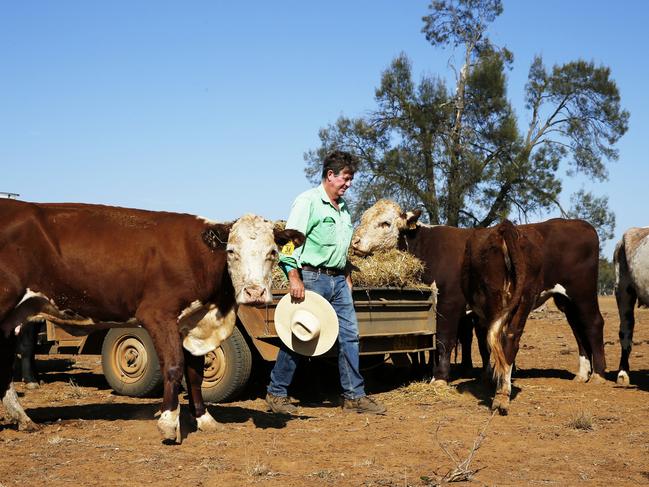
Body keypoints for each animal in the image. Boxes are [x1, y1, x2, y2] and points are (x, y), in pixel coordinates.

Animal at [0, 200, 304, 444]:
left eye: (273, 252)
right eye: (231, 251)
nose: (255, 292)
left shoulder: (192, 323)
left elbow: (195, 373)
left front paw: (204, 419)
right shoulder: (158, 315)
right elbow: (173, 367)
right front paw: (169, 422)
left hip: (14, 317)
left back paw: (23, 419)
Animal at [352, 199, 604, 388]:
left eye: (385, 223)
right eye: (363, 218)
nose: (354, 242)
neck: (427, 247)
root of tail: (582, 226)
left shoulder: (450, 303)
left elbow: (444, 340)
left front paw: (439, 378)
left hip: (583, 293)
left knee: (593, 323)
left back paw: (599, 374)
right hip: (565, 300)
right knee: (577, 329)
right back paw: (582, 374)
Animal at [458, 221, 544, 416]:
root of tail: (505, 227)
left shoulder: (479, 318)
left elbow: (484, 346)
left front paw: (487, 376)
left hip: (493, 297)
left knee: (495, 340)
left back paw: (498, 394)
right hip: (526, 297)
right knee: (511, 340)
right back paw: (503, 394)